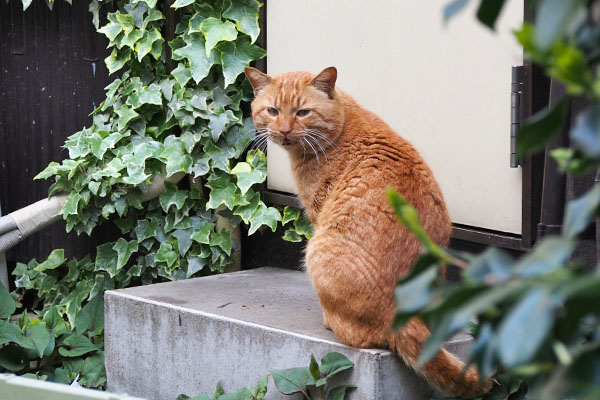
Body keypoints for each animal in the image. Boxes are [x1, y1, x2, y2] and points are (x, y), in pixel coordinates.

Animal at [246, 66, 490, 396]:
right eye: (272, 111)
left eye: (302, 112)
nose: (283, 130)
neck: (342, 125)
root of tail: (402, 313)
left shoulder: (317, 212)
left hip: (315, 249)